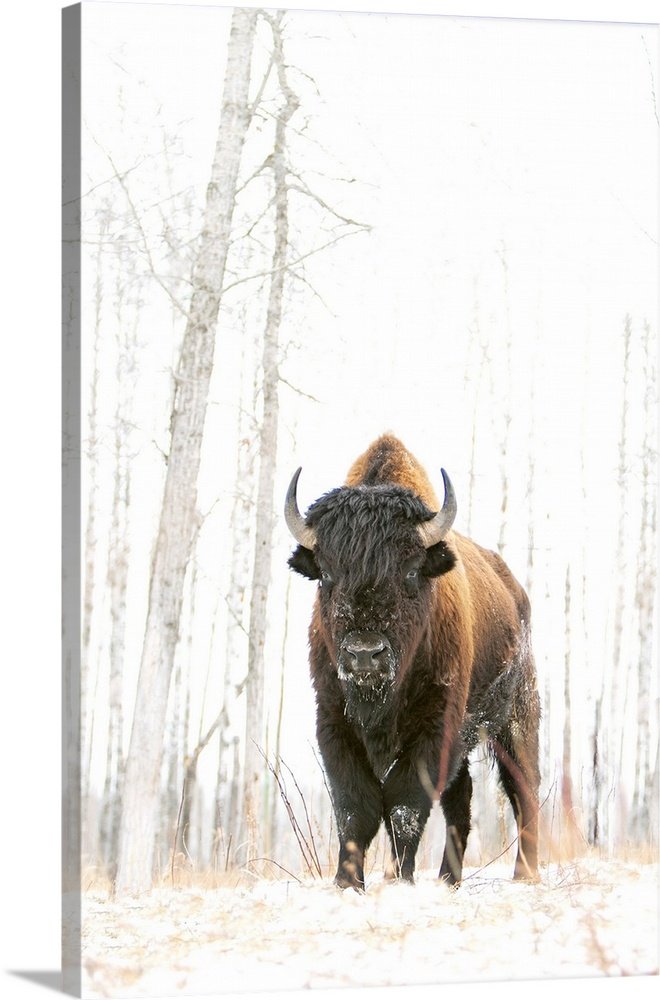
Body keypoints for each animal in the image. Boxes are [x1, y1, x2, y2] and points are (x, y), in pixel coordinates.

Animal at [285, 434, 541, 891]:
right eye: (326, 574)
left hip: (516, 719)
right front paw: (348, 883)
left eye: (409, 572)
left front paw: (400, 881)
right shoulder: (334, 720)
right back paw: (448, 880)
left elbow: (404, 805)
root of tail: (515, 590)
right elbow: (357, 807)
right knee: (461, 800)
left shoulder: (435, 726)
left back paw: (525, 875)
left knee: (524, 788)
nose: (365, 653)